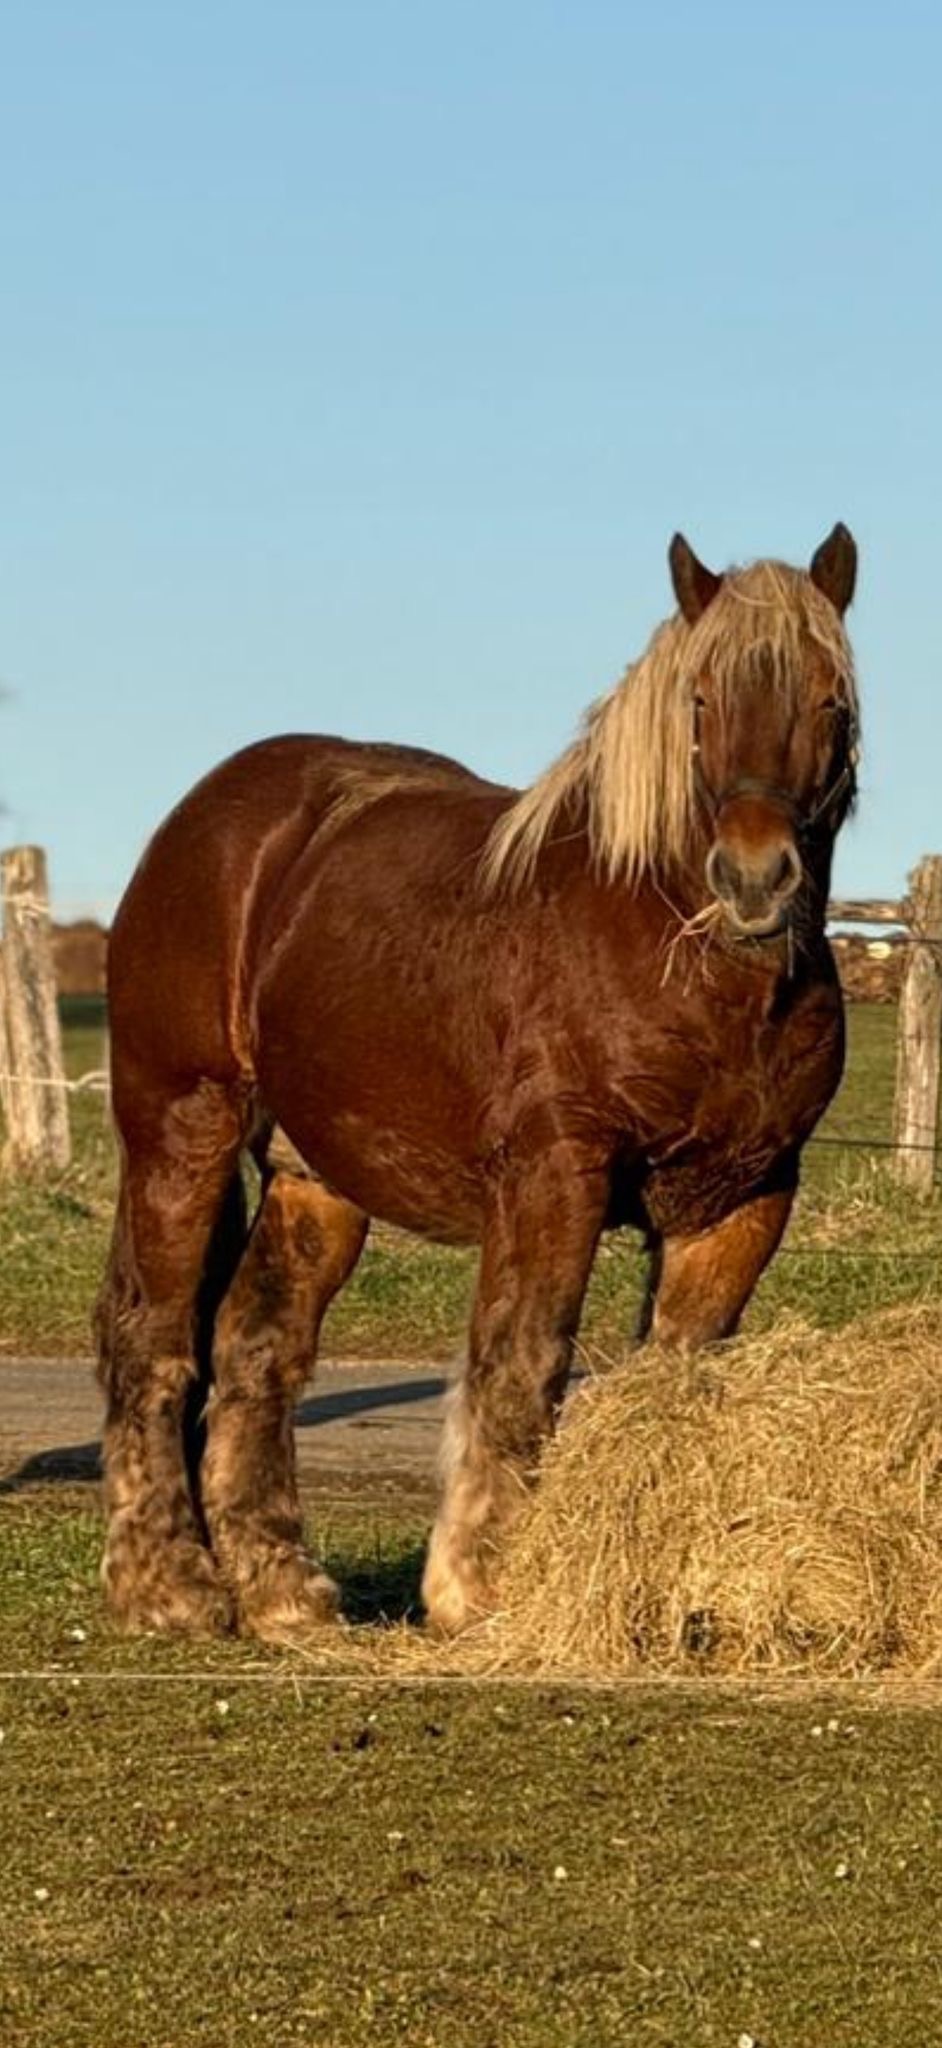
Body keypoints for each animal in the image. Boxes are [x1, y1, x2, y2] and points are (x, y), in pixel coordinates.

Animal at [96, 523, 860, 1642]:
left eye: (831, 702)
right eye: (700, 700)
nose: (754, 879)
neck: (677, 953)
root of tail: (208, 822)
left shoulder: (743, 1199)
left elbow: (673, 1379)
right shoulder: (555, 1174)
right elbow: (522, 1361)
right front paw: (482, 1582)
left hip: (312, 1181)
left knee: (254, 1348)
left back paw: (281, 1587)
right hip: (180, 1129)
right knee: (152, 1339)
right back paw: (171, 1586)